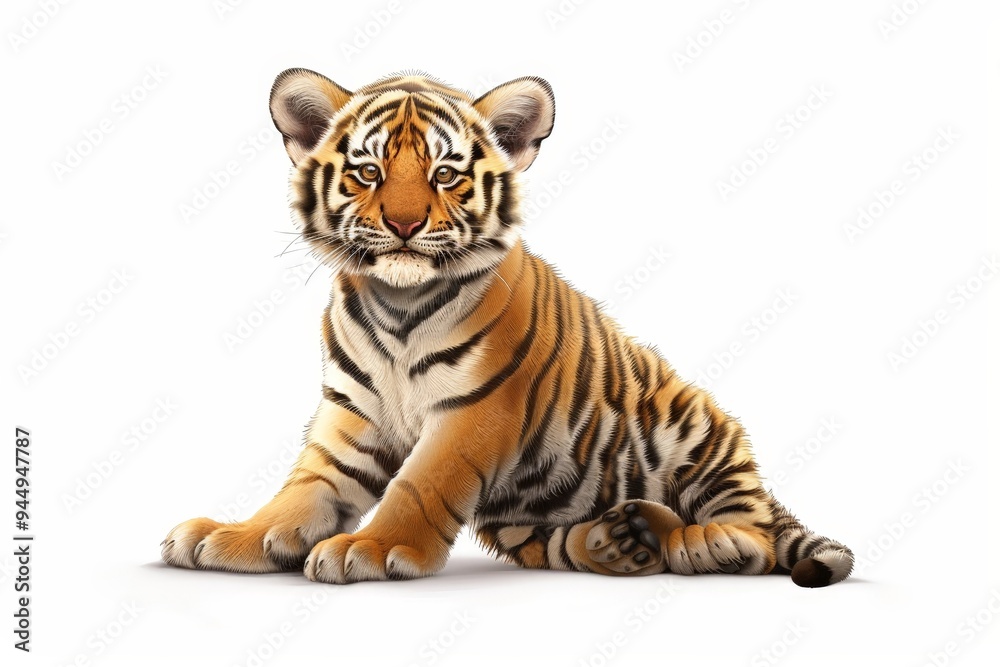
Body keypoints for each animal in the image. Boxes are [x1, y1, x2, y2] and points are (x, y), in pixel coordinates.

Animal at [161, 68, 854, 587]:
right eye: (368, 172)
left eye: (444, 174)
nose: (404, 225)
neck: (398, 306)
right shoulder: (353, 412)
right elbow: (305, 488)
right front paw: (233, 537)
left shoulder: (476, 411)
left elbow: (418, 484)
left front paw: (371, 549)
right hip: (526, 520)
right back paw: (619, 539)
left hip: (698, 428)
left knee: (756, 532)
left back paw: (709, 543)